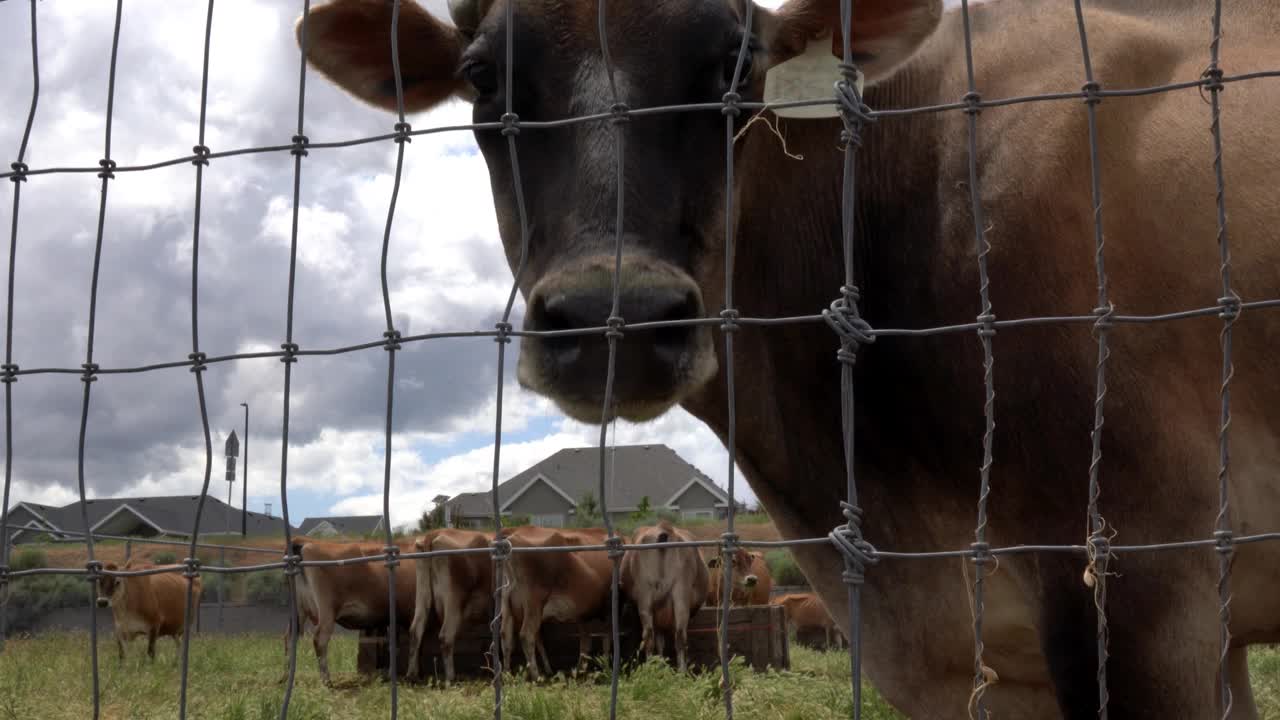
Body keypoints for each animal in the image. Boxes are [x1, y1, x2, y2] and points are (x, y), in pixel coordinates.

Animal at [290, 535, 414, 681]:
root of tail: (305, 541)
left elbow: (391, 643)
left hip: (299, 611)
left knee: (290, 637)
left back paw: (285, 678)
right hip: (327, 611)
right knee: (319, 639)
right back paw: (326, 680)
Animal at [407, 525, 496, 681]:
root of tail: (433, 535)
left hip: (422, 594)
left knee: (415, 631)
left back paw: (412, 676)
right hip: (454, 600)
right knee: (446, 636)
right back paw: (451, 678)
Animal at [496, 520, 611, 676]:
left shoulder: (582, 613)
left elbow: (586, 641)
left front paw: (580, 670)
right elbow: (606, 640)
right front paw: (606, 668)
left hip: (507, 603)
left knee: (506, 636)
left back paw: (508, 674)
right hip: (533, 602)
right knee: (526, 635)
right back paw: (536, 676)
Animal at [614, 517, 706, 671]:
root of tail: (663, 531)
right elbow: (661, 641)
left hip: (647, 595)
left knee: (650, 636)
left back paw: (653, 669)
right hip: (679, 593)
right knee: (678, 635)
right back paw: (680, 671)